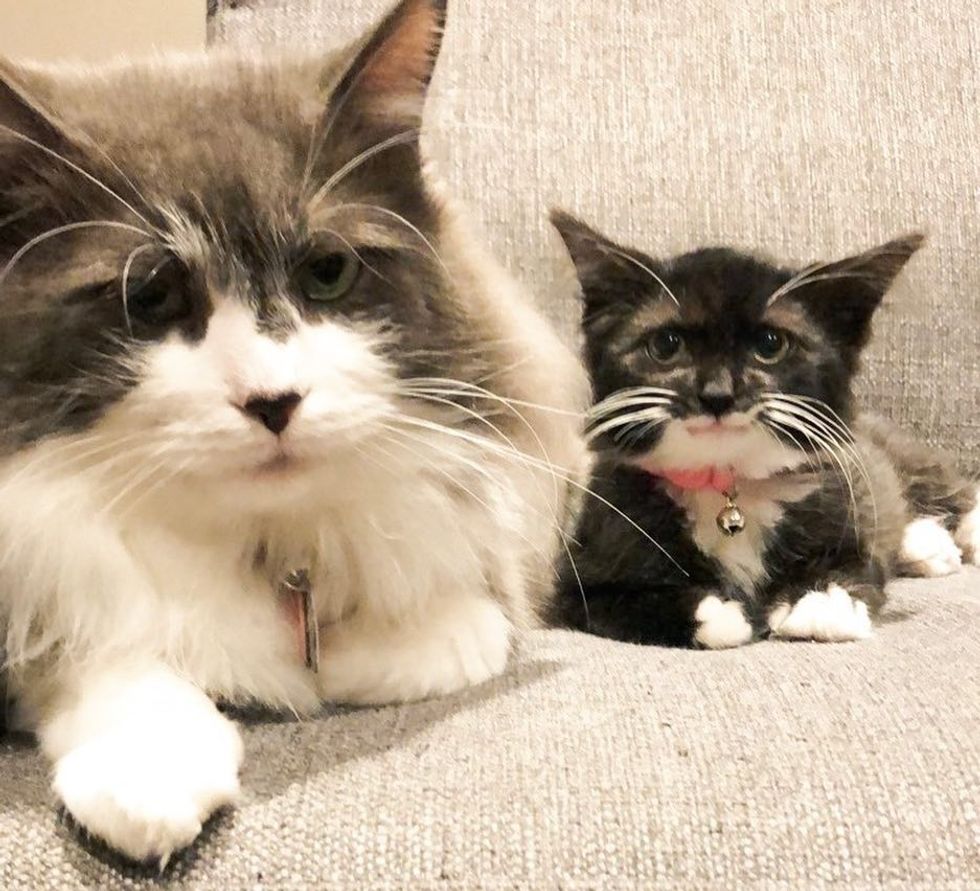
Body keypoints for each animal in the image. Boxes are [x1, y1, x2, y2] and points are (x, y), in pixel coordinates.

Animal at [0, 0, 588, 864]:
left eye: (328, 272)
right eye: (152, 295)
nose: (273, 401)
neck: (278, 547)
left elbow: (459, 627)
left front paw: (340, 666)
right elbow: (103, 659)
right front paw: (149, 777)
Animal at [548, 213, 976, 652]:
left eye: (771, 344)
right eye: (666, 345)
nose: (717, 394)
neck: (728, 485)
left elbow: (861, 562)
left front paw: (822, 603)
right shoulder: (582, 566)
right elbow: (618, 600)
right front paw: (718, 614)